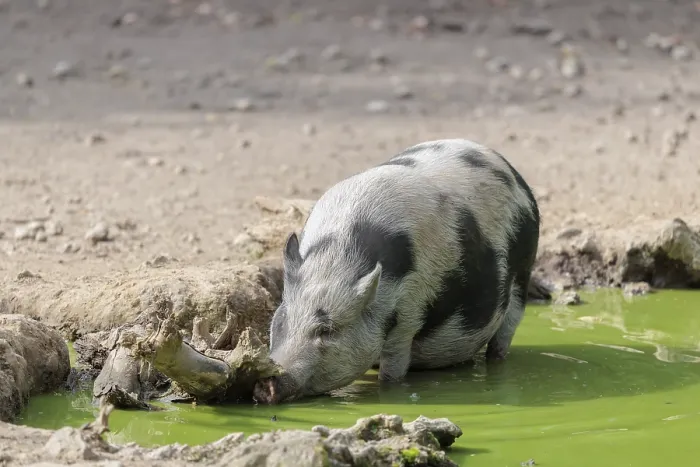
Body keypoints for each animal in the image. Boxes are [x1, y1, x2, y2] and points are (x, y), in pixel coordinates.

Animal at [254, 138, 540, 404]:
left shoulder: (409, 316)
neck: (336, 258)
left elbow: (392, 372)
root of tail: (514, 174)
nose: (269, 381)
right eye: (282, 318)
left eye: (327, 330)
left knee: (504, 336)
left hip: (523, 272)